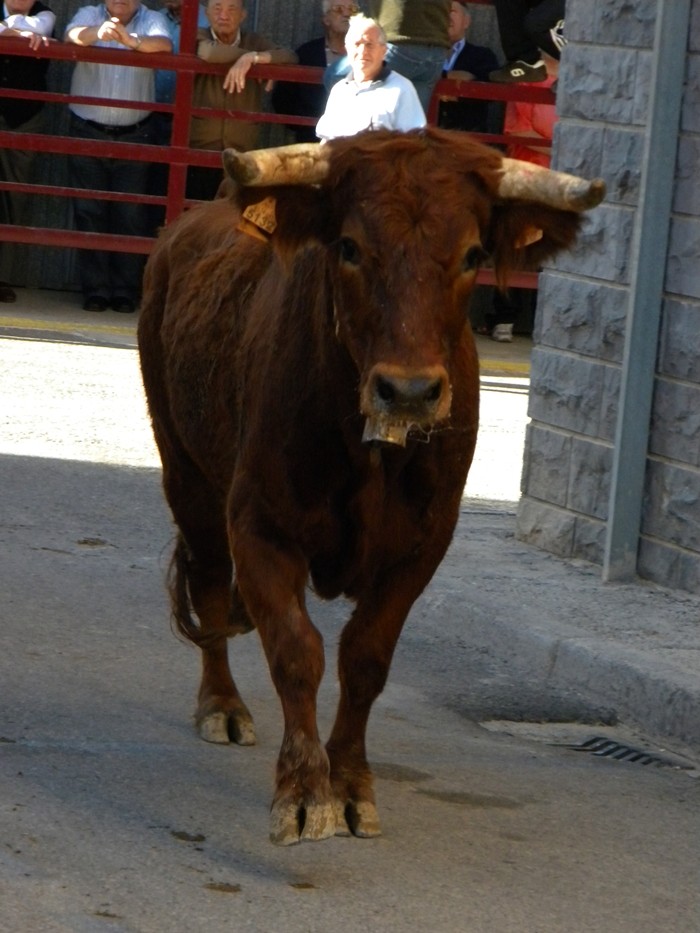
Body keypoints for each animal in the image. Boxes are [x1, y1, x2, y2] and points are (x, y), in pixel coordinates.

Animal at [139, 127, 604, 848]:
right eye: (351, 247)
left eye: (473, 254)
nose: (408, 391)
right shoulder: (258, 524)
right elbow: (296, 650)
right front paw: (305, 794)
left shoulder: (422, 548)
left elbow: (366, 658)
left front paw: (352, 786)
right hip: (185, 472)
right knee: (212, 585)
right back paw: (222, 705)